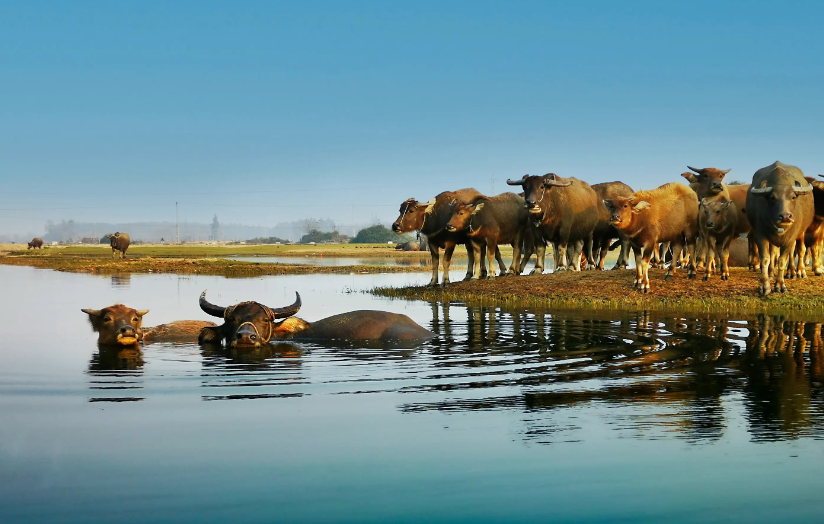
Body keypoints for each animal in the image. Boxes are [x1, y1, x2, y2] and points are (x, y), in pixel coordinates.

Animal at [744, 160, 816, 294]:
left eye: (793, 197)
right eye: (772, 197)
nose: (785, 217)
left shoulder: (790, 239)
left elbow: (783, 260)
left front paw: (780, 285)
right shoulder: (760, 235)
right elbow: (766, 258)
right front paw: (764, 285)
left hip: (801, 233)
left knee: (799, 250)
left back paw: (797, 272)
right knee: (773, 253)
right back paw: (772, 272)